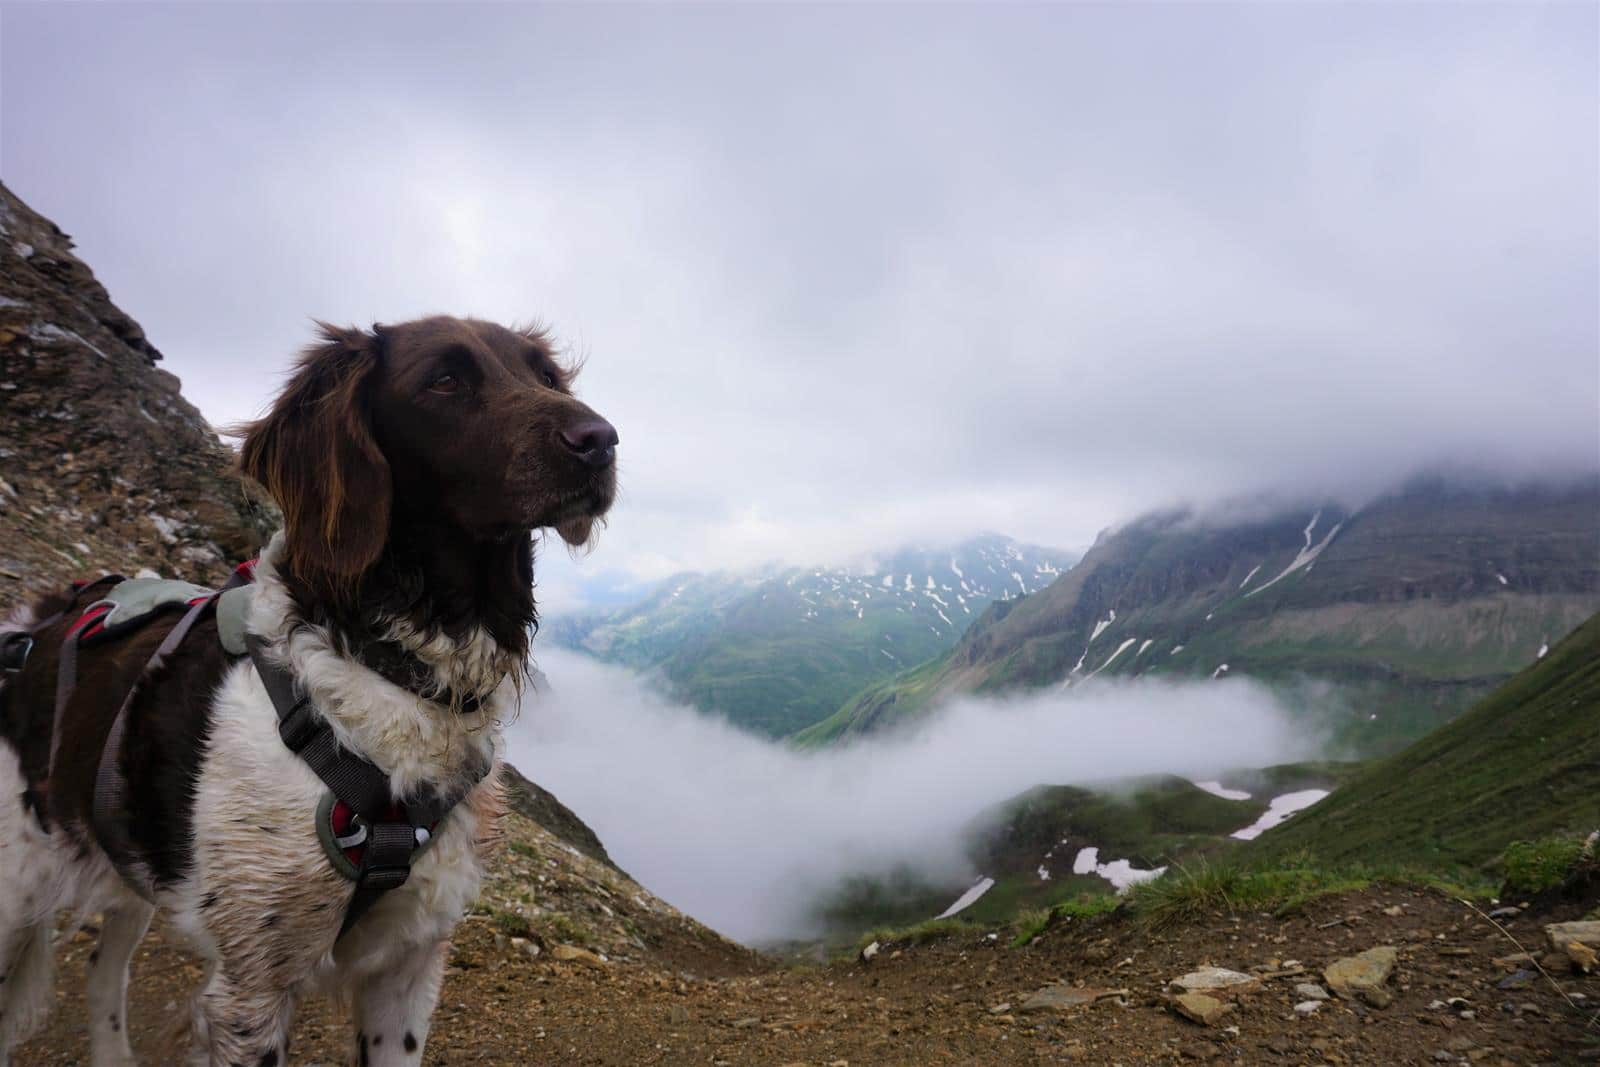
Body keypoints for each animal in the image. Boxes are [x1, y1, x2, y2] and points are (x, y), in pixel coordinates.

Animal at [0, 316, 617, 1067]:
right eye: (445, 380)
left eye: (546, 377)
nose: (602, 440)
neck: (387, 668)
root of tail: (33, 624)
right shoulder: (252, 990)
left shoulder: (409, 967)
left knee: (104, 969)